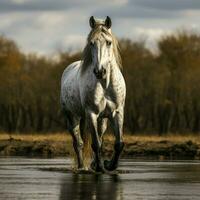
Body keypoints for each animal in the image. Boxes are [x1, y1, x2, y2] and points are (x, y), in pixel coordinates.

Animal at [60, 16, 126, 172]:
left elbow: (118, 143)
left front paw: (109, 165)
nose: (100, 71)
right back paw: (81, 167)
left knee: (99, 137)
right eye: (91, 43)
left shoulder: (118, 112)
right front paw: (101, 167)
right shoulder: (91, 113)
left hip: (102, 120)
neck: (105, 85)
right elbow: (95, 144)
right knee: (78, 143)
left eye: (108, 42)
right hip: (72, 117)